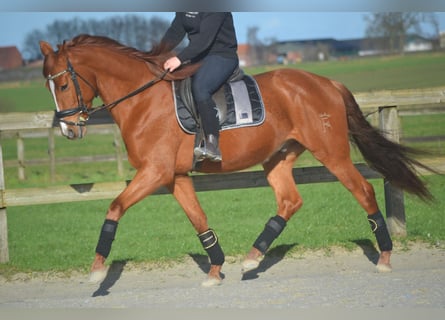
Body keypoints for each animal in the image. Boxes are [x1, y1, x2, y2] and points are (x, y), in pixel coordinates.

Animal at [39, 35, 430, 288]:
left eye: (62, 85)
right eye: (48, 86)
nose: (68, 130)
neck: (143, 100)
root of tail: (326, 82)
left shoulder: (154, 172)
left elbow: (115, 207)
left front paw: (97, 269)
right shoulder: (175, 176)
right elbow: (199, 220)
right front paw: (215, 270)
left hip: (331, 153)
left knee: (363, 191)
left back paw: (384, 257)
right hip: (278, 158)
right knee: (290, 201)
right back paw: (253, 256)